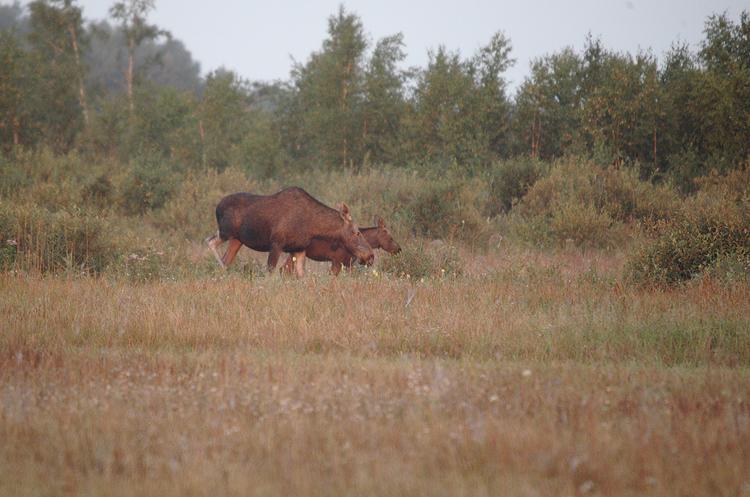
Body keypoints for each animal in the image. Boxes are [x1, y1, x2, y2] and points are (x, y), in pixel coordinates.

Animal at [207, 186, 374, 276]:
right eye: (357, 232)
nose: (370, 256)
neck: (313, 227)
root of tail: (217, 207)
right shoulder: (276, 244)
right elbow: (270, 273)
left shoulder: (299, 249)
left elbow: (301, 276)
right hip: (225, 231)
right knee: (210, 242)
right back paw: (223, 268)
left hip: (237, 240)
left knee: (226, 258)